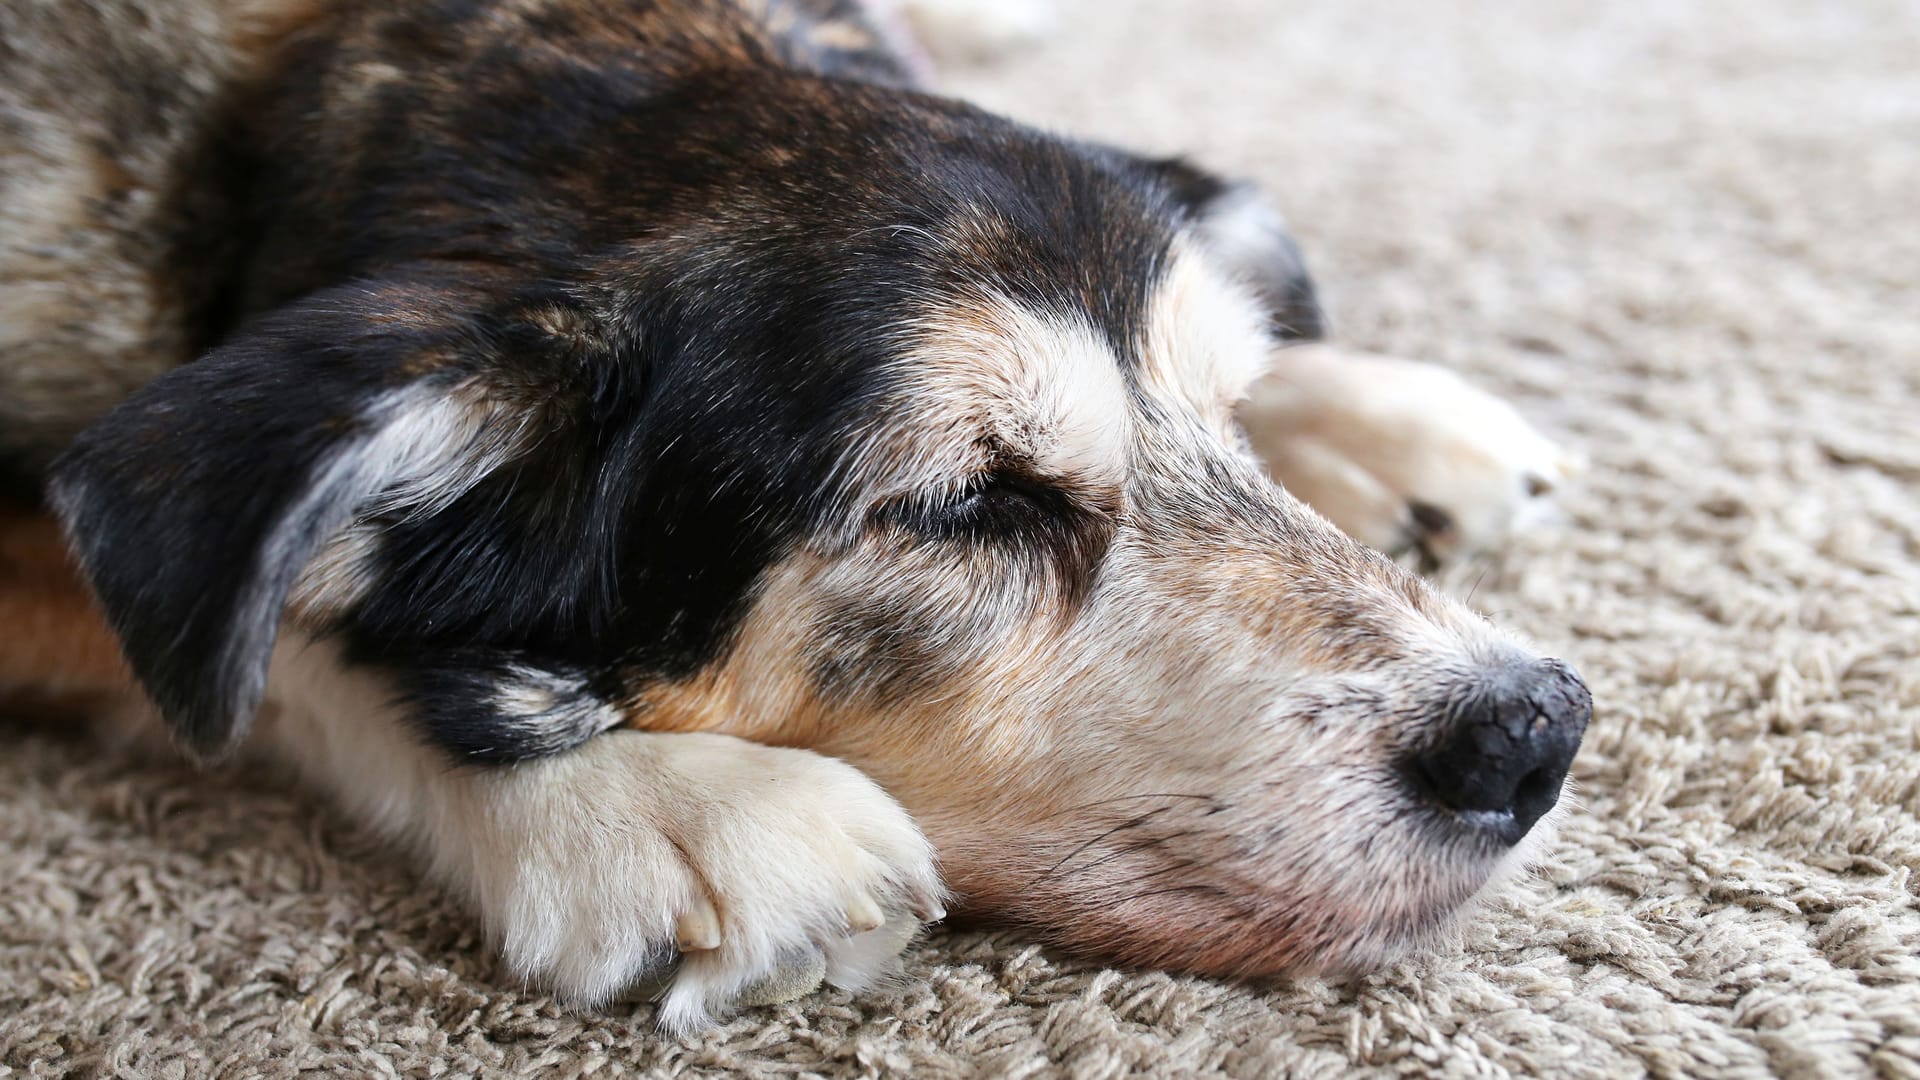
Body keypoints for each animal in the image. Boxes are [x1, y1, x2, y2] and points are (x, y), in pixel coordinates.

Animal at [0, 0, 1589, 1030]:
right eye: (970, 506)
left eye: (1229, 415)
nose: (1537, 732)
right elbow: (271, 634)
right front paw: (650, 803)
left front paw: (1357, 405)